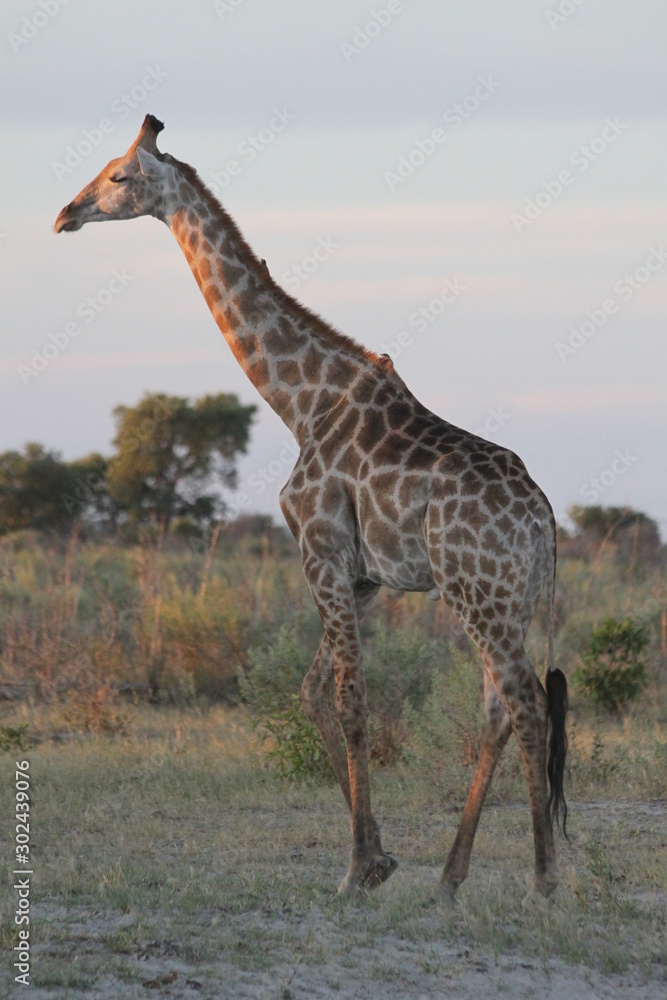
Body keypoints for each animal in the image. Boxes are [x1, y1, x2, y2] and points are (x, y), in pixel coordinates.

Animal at [55, 115, 568, 900]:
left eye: (118, 175)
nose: (65, 214)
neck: (300, 403)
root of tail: (543, 521)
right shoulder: (360, 577)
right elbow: (313, 694)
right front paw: (380, 858)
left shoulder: (320, 552)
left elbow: (352, 703)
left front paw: (355, 870)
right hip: (502, 597)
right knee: (497, 708)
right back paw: (449, 878)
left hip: (476, 591)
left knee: (526, 703)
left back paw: (541, 880)